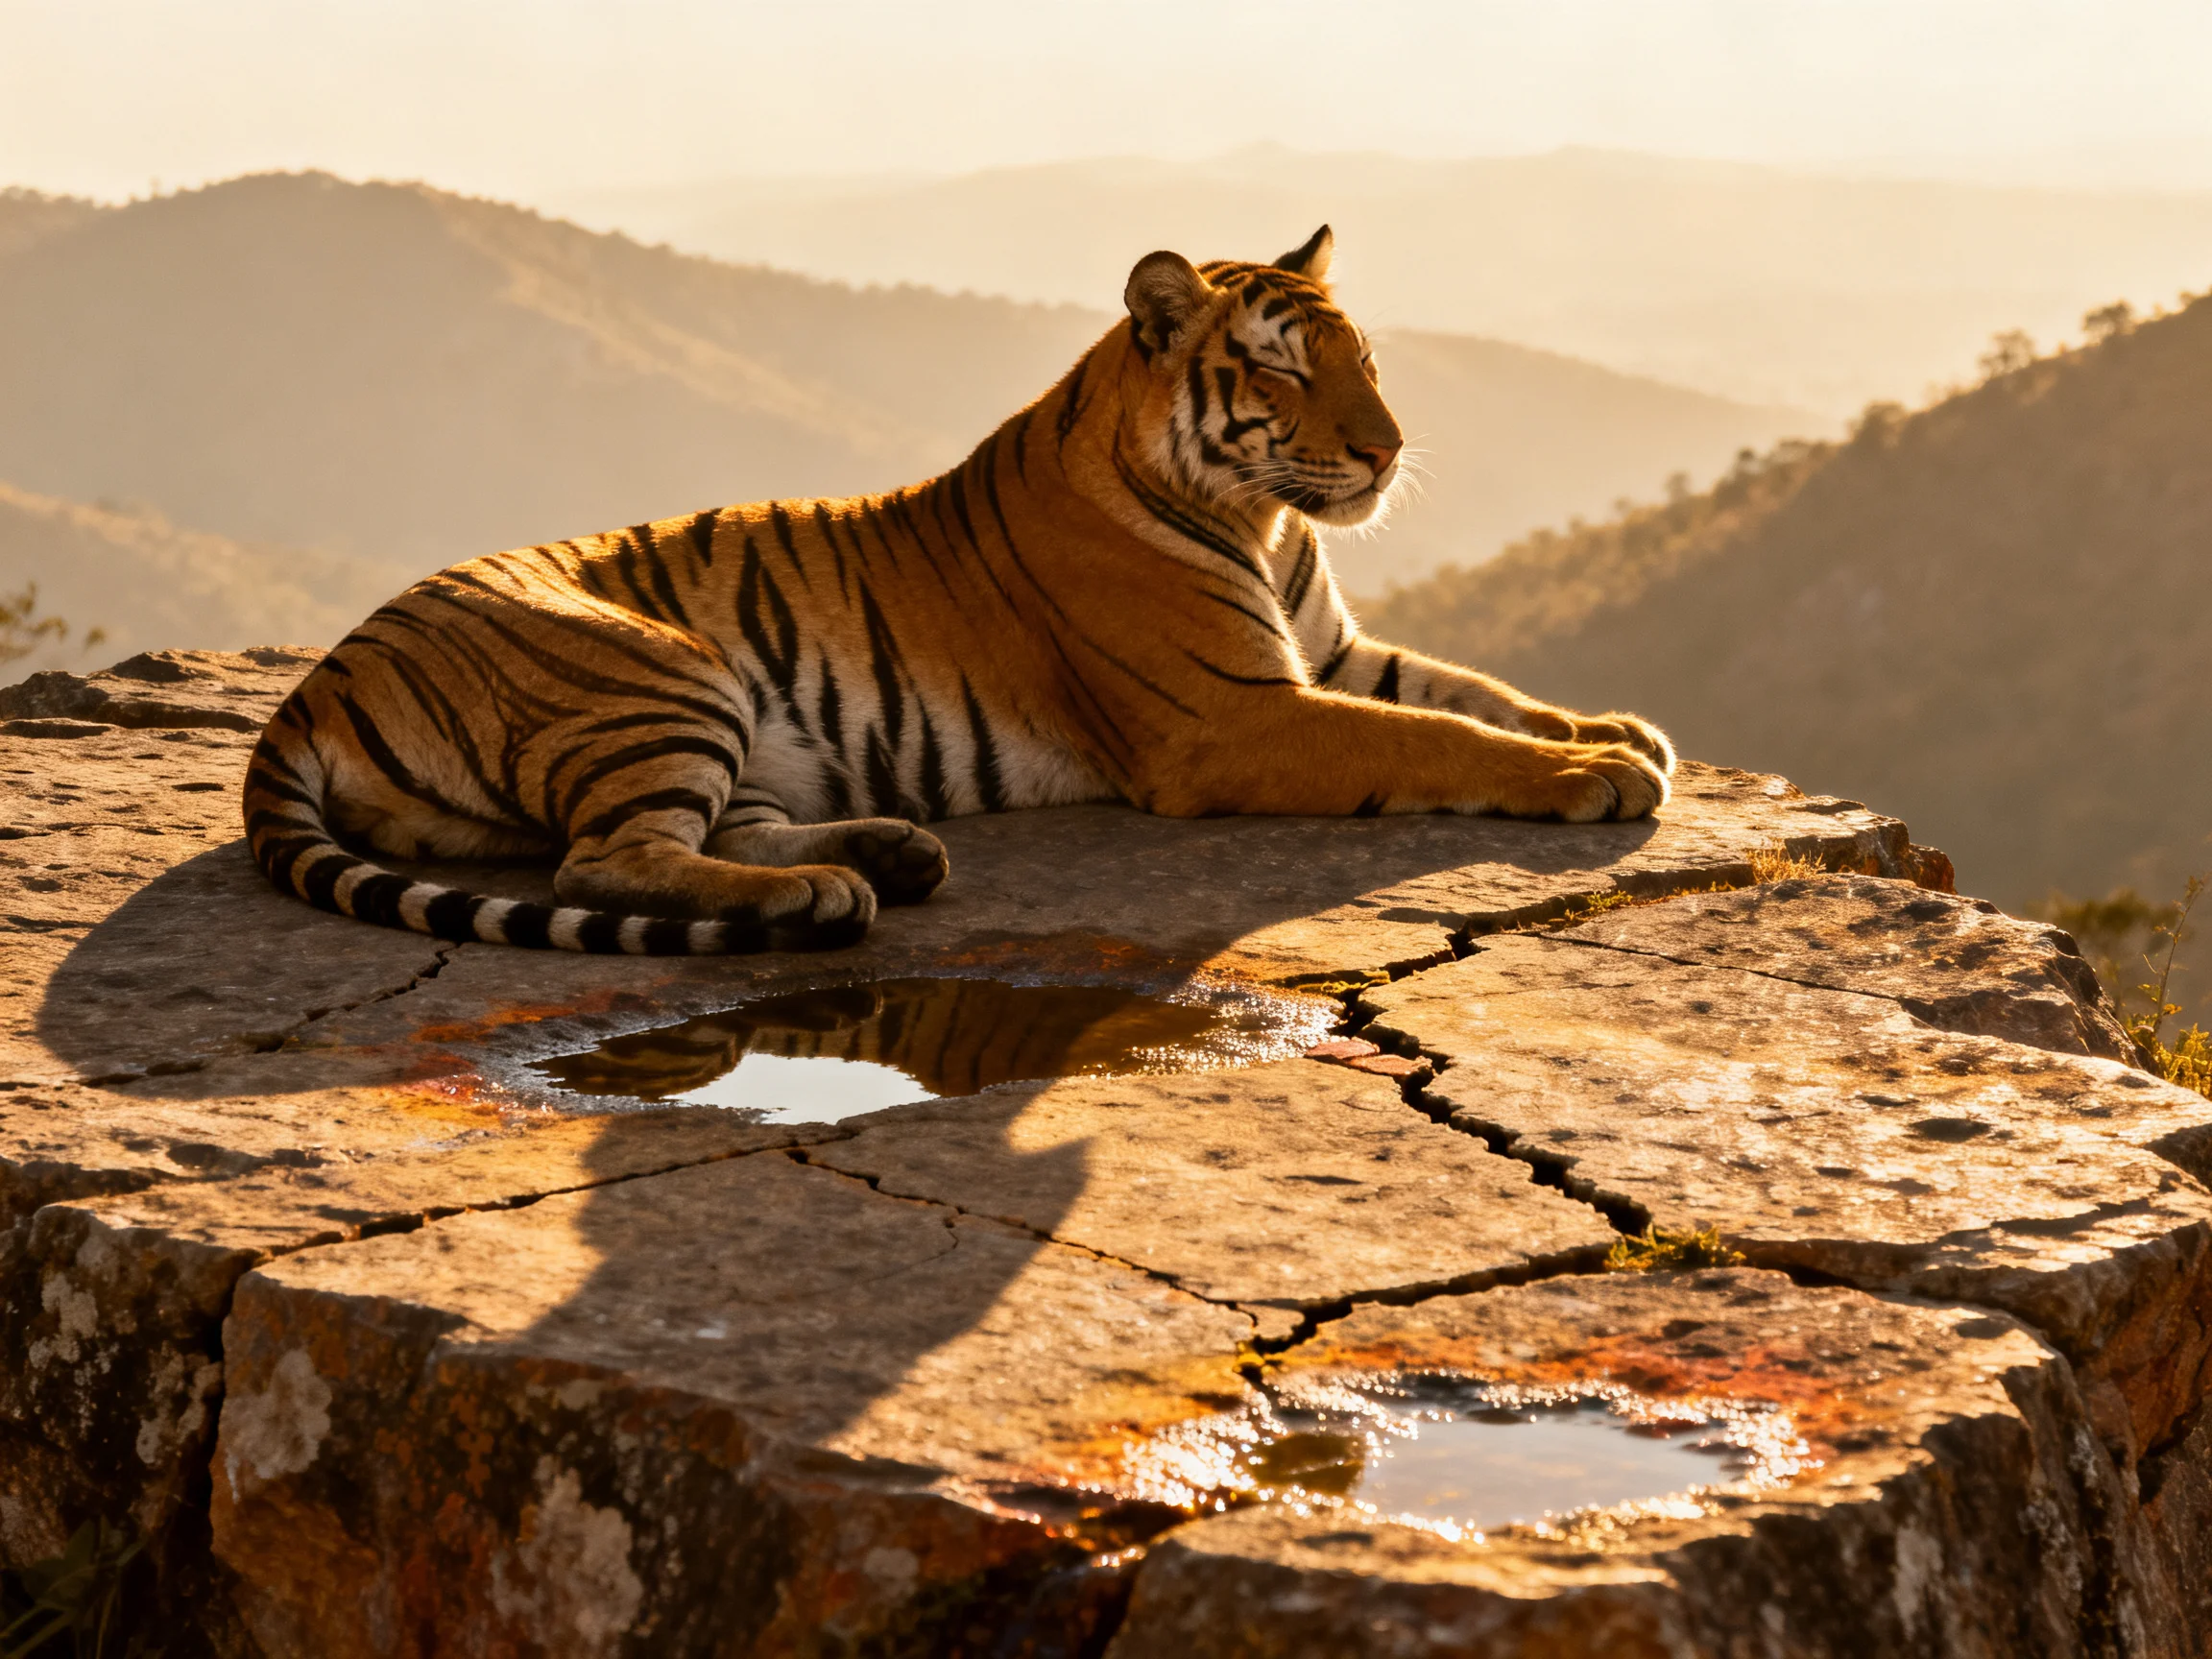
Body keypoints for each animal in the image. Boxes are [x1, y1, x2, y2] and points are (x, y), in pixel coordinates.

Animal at [243, 226, 1674, 956]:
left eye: (1364, 359)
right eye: (1282, 369)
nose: (1386, 449)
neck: (1268, 522)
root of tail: (314, 687)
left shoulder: (1325, 653)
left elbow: (1475, 690)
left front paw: (1617, 730)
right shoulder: (1231, 715)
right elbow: (1435, 736)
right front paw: (1594, 773)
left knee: (708, 832)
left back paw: (886, 852)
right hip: (662, 672)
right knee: (606, 860)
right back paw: (823, 895)